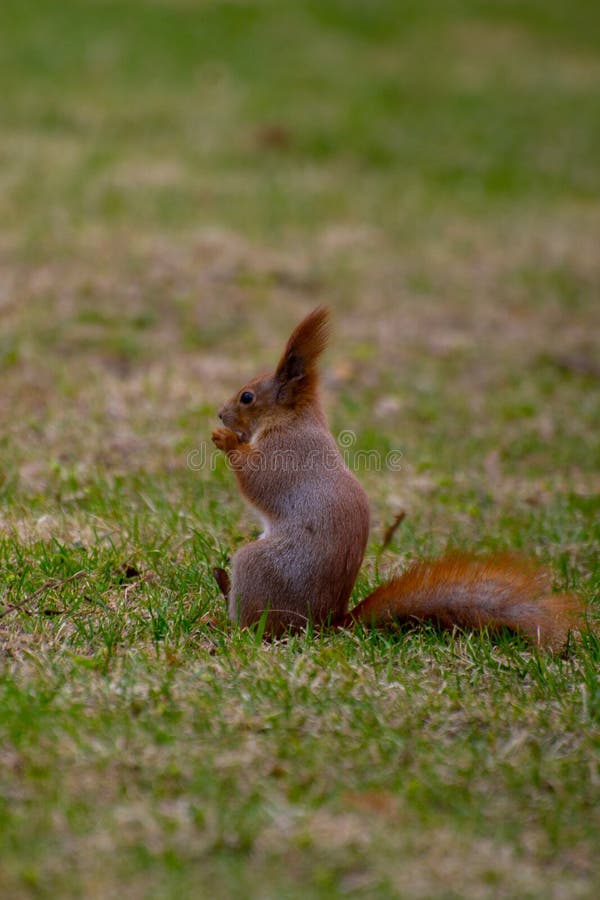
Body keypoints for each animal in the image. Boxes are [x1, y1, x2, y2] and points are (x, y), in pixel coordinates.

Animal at [211, 307, 583, 648]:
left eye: (247, 397)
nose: (220, 414)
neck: (291, 419)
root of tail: (324, 624)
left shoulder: (287, 453)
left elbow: (258, 479)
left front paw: (226, 440)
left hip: (259, 568)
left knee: (259, 625)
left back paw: (225, 624)